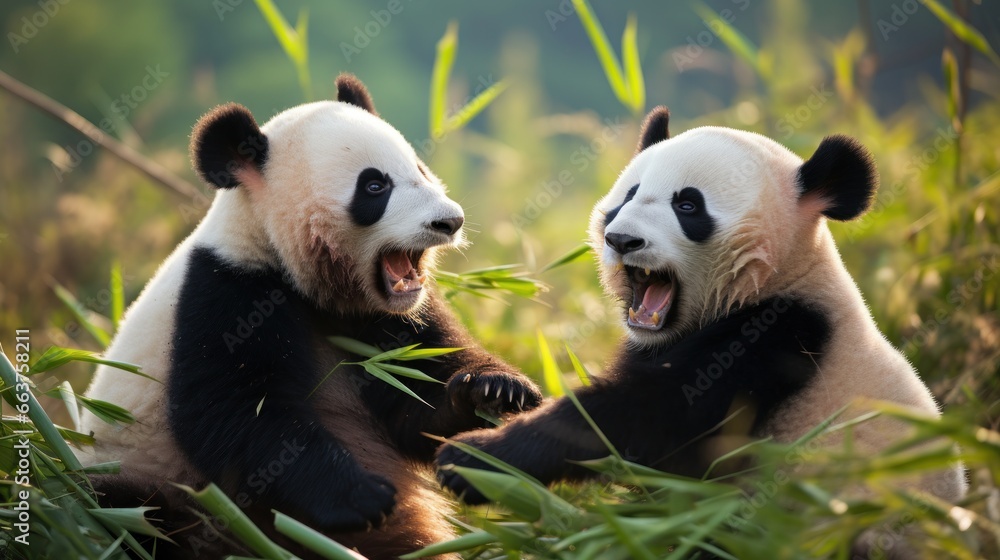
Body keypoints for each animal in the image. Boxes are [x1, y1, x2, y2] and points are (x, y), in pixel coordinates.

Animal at [79, 74, 544, 560]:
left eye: (420, 170)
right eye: (374, 187)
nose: (449, 222)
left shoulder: (389, 319)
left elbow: (416, 397)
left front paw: (495, 390)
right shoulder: (225, 294)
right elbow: (238, 416)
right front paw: (360, 496)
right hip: (139, 478)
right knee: (137, 514)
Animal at [440, 105, 968, 512]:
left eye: (688, 206)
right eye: (628, 196)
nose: (622, 240)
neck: (778, 277)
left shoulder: (777, 340)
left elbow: (642, 420)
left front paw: (473, 460)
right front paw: (491, 393)